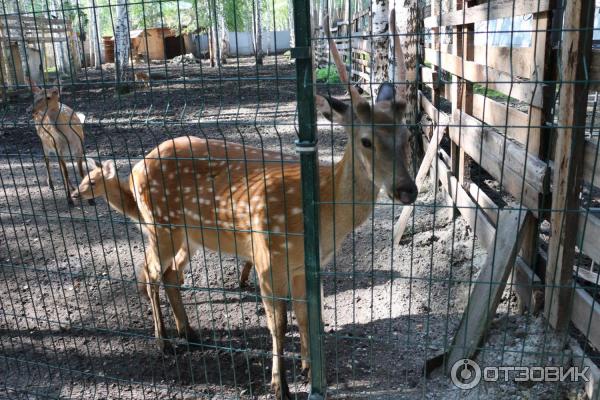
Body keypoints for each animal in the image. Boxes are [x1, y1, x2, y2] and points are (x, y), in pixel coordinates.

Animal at [72, 8, 414, 396]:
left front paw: (311, 371)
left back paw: (188, 332)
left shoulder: (304, 267)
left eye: (408, 133)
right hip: (159, 225)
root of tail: (134, 172)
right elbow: (278, 324)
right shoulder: (267, 256)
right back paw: (163, 342)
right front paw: (278, 385)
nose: (407, 189)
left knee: (170, 274)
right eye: (366, 140)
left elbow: (308, 316)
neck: (320, 213)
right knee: (149, 274)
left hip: (181, 232)